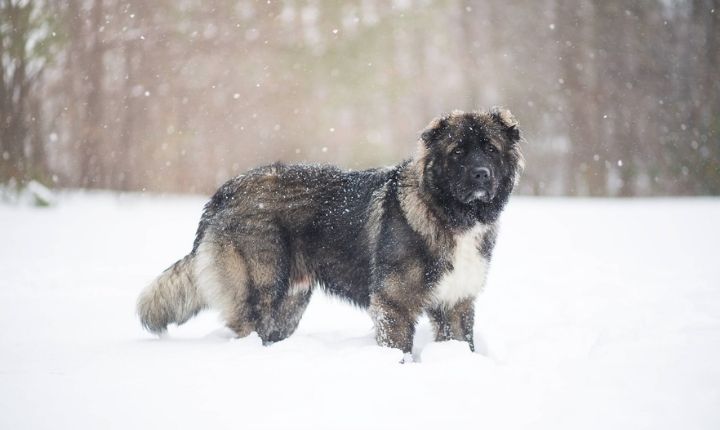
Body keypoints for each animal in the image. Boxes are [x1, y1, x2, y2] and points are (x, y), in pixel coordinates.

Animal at [138, 109, 524, 358]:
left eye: (490, 149)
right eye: (458, 151)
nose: (481, 175)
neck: (448, 213)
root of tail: (224, 192)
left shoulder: (456, 303)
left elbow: (463, 344)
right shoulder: (394, 304)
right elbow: (399, 349)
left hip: (290, 303)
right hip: (261, 290)